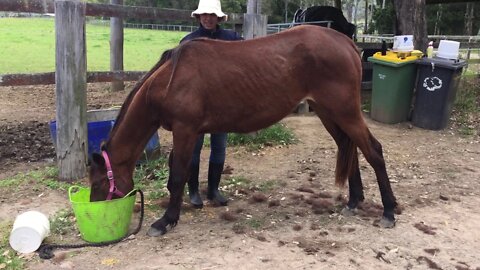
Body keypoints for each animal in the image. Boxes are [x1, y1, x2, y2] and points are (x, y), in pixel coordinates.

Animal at [88, 25, 396, 236]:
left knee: (373, 151)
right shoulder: (189, 133)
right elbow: (181, 172)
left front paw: (165, 221)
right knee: (349, 147)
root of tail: (346, 42)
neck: (168, 81)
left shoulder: (184, 130)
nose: (97, 213)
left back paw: (389, 211)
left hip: (345, 112)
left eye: (99, 183)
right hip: (328, 113)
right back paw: (354, 201)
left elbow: (176, 176)